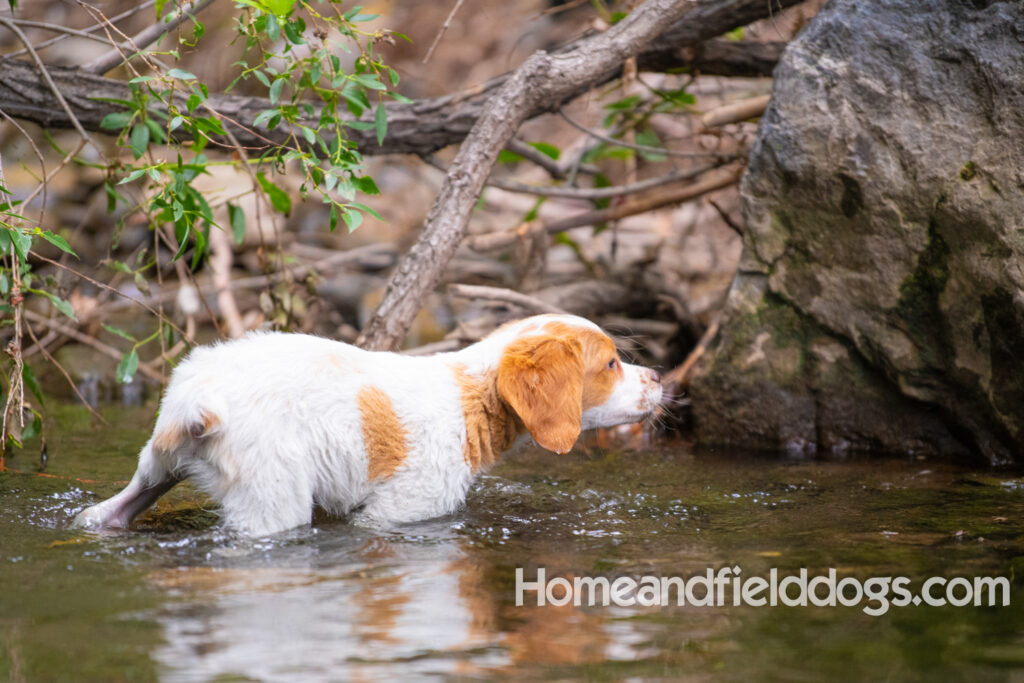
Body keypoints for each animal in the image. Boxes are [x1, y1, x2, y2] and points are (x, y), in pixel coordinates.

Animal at [72, 313, 663, 536]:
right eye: (611, 364)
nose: (659, 377)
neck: (471, 394)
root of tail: (196, 402)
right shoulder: (398, 512)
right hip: (272, 502)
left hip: (154, 466)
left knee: (106, 511)